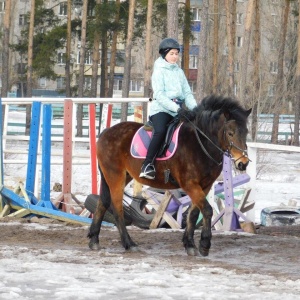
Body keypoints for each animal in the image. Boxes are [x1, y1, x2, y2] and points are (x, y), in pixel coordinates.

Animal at [88, 95, 252, 255]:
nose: (243, 163)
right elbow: (207, 210)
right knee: (117, 208)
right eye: (230, 133)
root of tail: (106, 132)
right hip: (115, 175)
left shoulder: (204, 186)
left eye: (246, 132)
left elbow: (193, 213)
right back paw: (129, 244)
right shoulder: (190, 184)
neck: (199, 144)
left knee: (103, 202)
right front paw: (204, 244)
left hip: (119, 175)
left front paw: (189, 244)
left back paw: (94, 240)